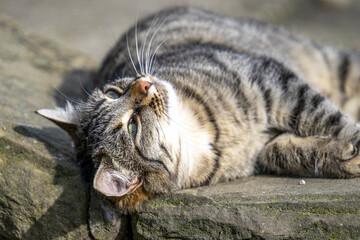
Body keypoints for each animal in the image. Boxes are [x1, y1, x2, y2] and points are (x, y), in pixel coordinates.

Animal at [36, 7, 360, 210]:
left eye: (114, 92)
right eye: (133, 125)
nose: (143, 84)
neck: (199, 134)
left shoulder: (274, 82)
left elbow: (329, 118)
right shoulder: (265, 145)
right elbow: (294, 151)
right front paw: (344, 157)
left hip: (331, 62)